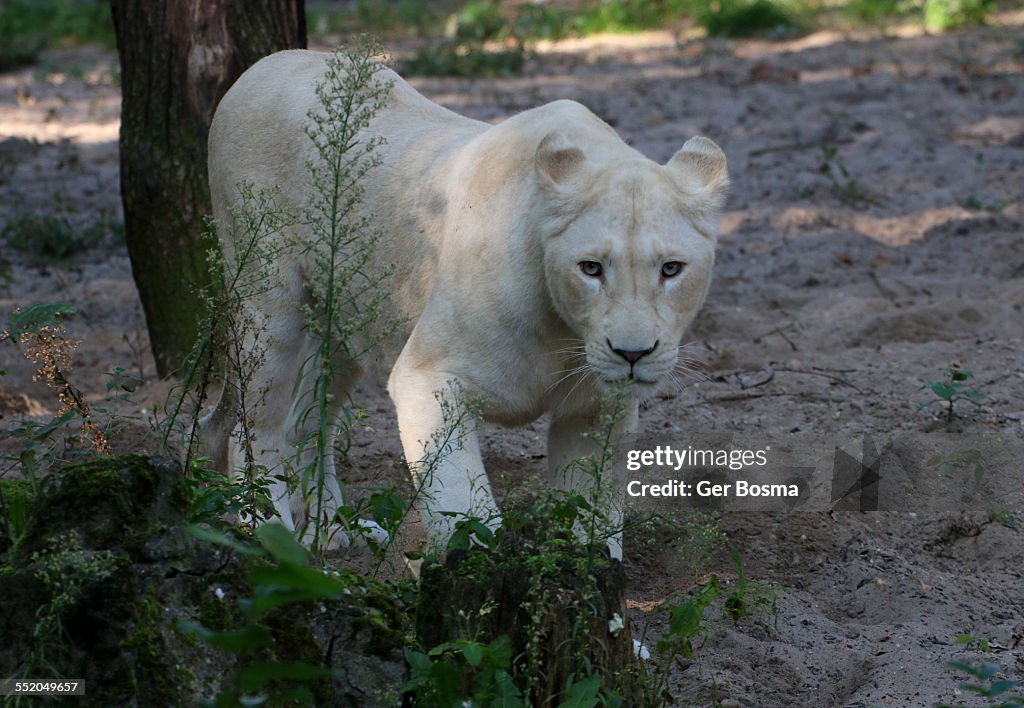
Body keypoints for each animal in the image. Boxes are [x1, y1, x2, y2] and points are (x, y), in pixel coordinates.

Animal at [201, 51, 729, 561]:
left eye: (671, 269)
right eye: (591, 268)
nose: (632, 354)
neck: (565, 333)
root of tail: (263, 66)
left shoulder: (595, 407)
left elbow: (592, 510)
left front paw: (593, 571)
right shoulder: (427, 376)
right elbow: (463, 507)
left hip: (343, 323)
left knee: (307, 422)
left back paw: (331, 532)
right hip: (265, 297)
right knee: (255, 421)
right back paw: (269, 534)